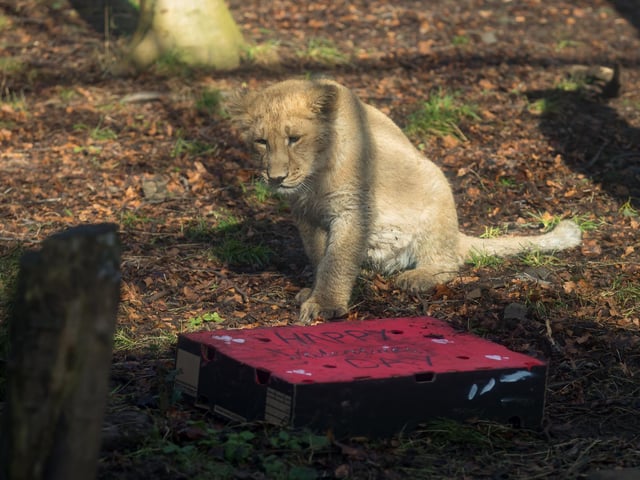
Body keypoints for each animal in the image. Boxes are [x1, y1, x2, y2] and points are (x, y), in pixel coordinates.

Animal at [227, 79, 582, 324]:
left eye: (294, 138)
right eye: (261, 141)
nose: (275, 178)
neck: (314, 180)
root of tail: (457, 235)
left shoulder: (353, 210)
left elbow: (336, 261)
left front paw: (324, 305)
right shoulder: (306, 215)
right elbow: (319, 257)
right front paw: (312, 291)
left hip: (436, 185)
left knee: (449, 262)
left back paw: (416, 277)